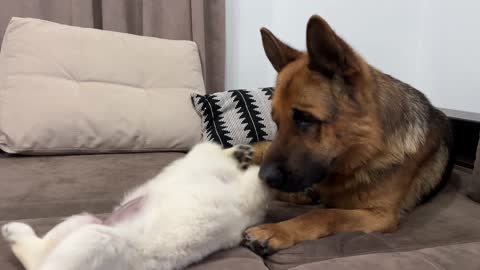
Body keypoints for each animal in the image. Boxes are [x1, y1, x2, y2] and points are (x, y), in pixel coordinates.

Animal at [0, 142, 270, 268]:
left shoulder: (247, 195)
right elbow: (212, 153)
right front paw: (240, 153)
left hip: (95, 237)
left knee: (41, 262)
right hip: (80, 223)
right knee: (39, 253)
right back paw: (13, 230)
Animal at [242, 14, 452, 255]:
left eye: (305, 118)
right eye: (276, 122)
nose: (265, 177)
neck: (369, 150)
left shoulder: (380, 216)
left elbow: (326, 214)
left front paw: (277, 230)